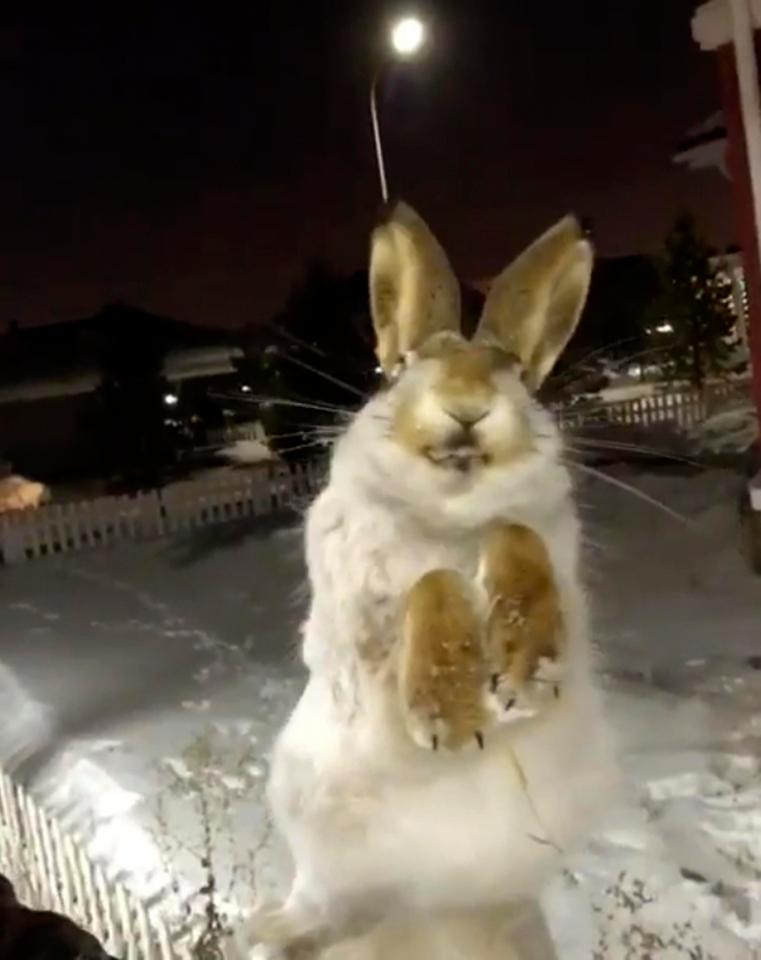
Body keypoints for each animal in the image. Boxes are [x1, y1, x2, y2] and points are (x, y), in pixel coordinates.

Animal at [238, 202, 619, 960]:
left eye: (514, 374)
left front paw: (524, 672)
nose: (467, 406)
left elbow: (515, 537)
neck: (452, 508)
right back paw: (276, 935)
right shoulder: (361, 618)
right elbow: (432, 580)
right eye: (405, 368)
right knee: (324, 908)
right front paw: (451, 714)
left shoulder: (548, 555)